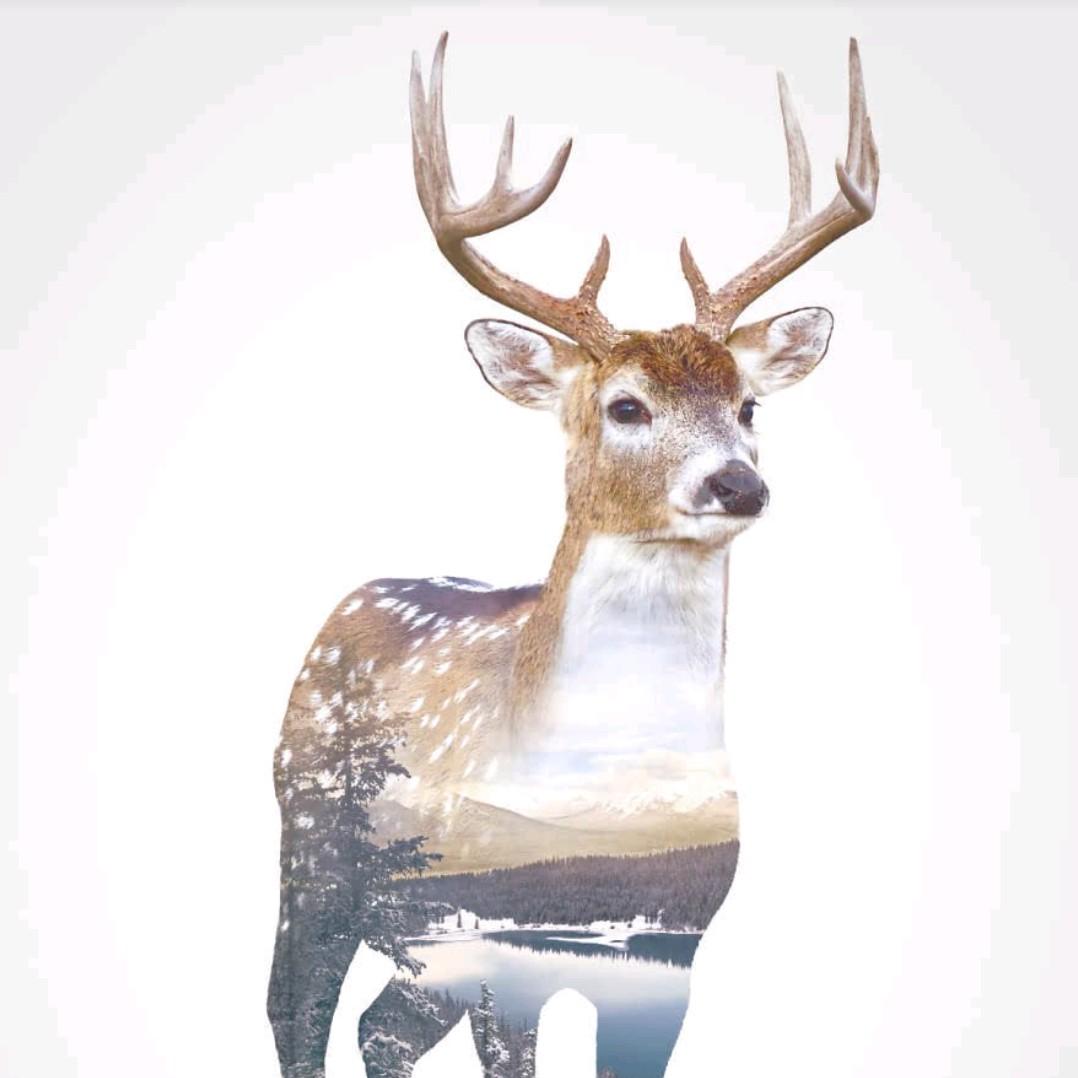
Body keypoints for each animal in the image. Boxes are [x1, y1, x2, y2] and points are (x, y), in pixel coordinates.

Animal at [267, 32, 878, 1078]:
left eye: (749, 405)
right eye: (626, 404)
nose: (740, 485)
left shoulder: (681, 952)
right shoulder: (483, 941)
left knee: (382, 1026)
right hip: (310, 842)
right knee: (299, 1009)